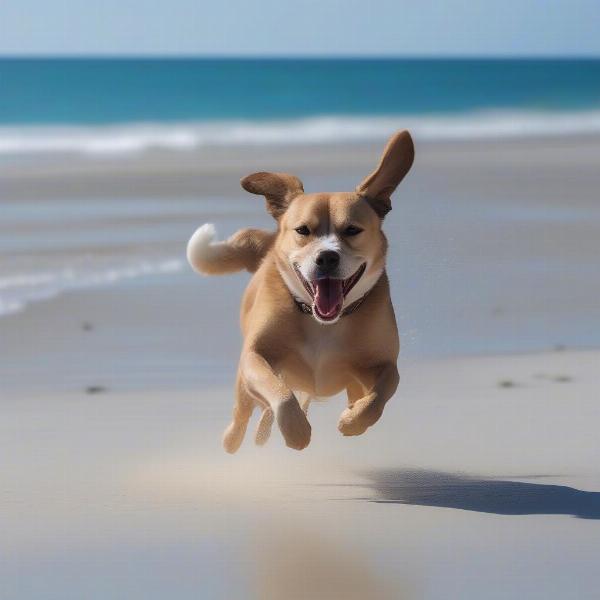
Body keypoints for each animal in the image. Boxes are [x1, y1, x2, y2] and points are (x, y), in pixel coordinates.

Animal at [186, 130, 412, 450]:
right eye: (303, 230)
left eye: (352, 230)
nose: (327, 257)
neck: (322, 322)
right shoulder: (256, 356)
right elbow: (278, 392)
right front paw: (295, 430)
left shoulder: (383, 363)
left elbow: (382, 390)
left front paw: (354, 420)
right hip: (244, 386)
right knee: (244, 413)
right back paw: (237, 437)